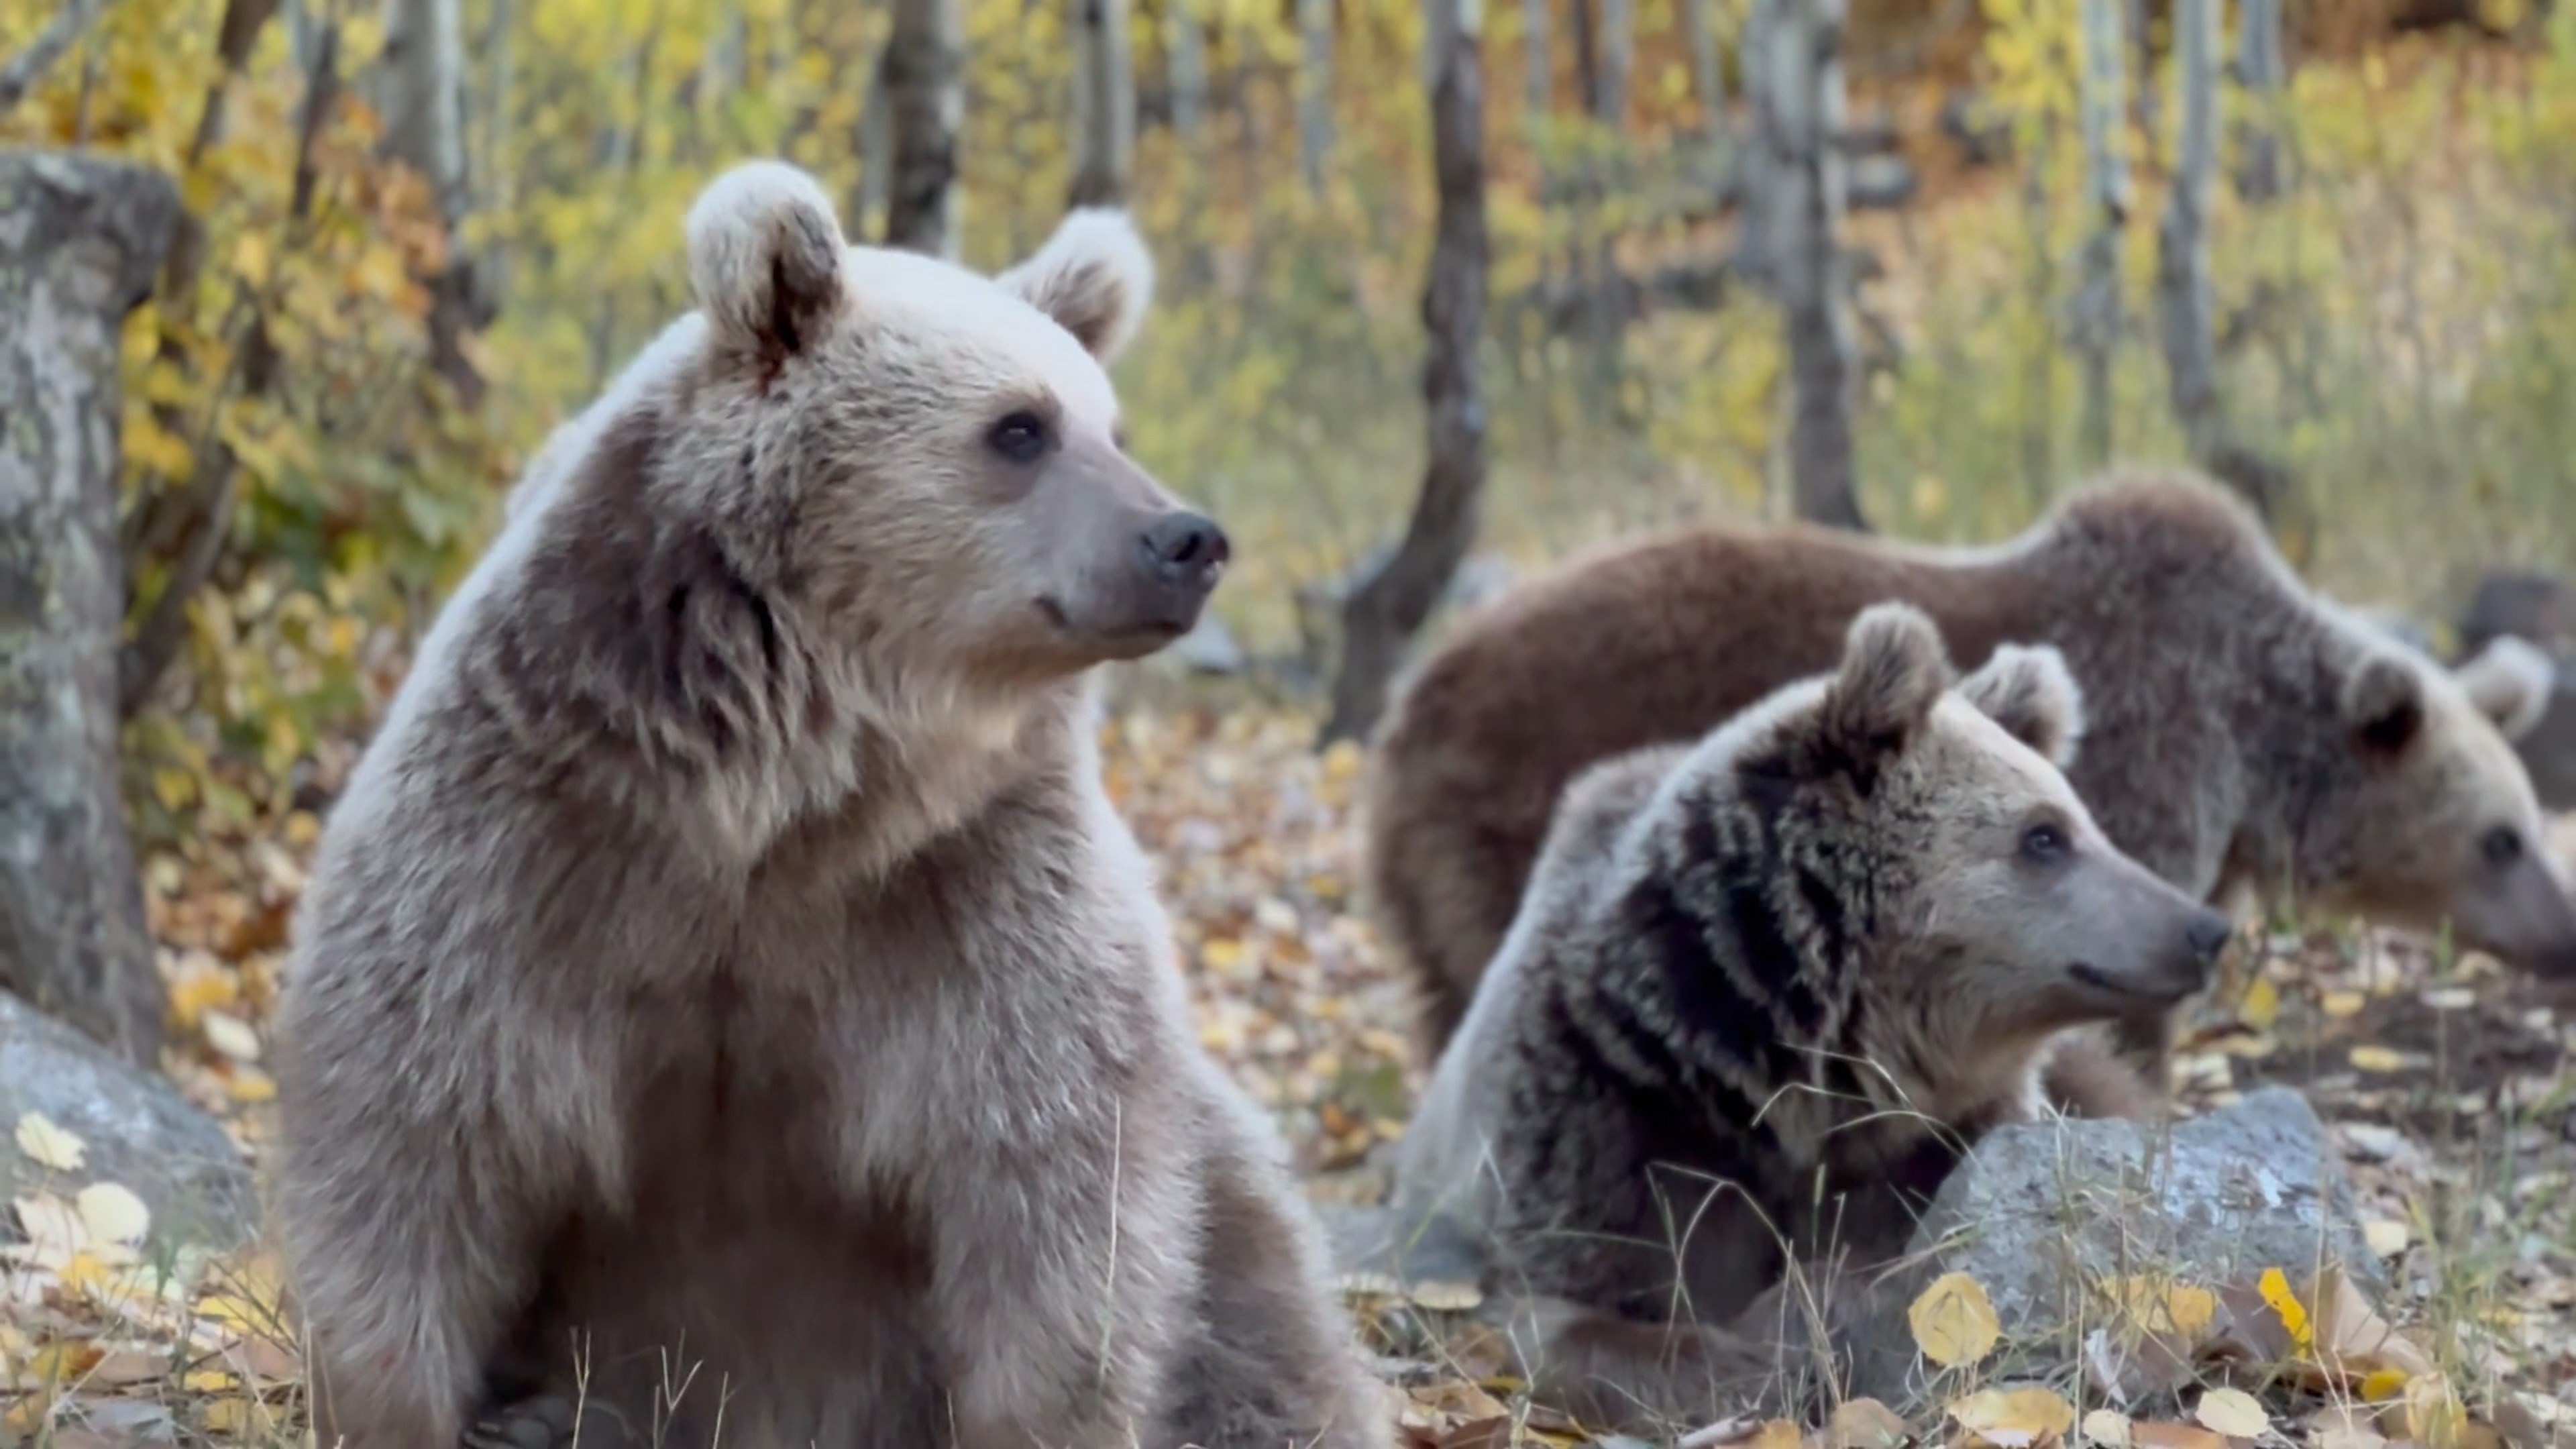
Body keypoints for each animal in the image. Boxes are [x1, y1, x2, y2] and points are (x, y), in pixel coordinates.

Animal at [276, 164, 1391, 1444]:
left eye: (1113, 426)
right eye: (1021, 427)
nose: (1185, 539)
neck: (786, 787)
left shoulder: (968, 889)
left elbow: (1051, 1182)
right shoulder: (532, 837)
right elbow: (417, 1126)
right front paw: (396, 1402)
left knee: (1255, 1266)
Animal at [1370, 469, 2576, 1087]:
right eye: (2505, 837)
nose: (2566, 931)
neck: (2256, 749)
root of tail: (1407, 698)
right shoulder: (2151, 761)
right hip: (1518, 795)